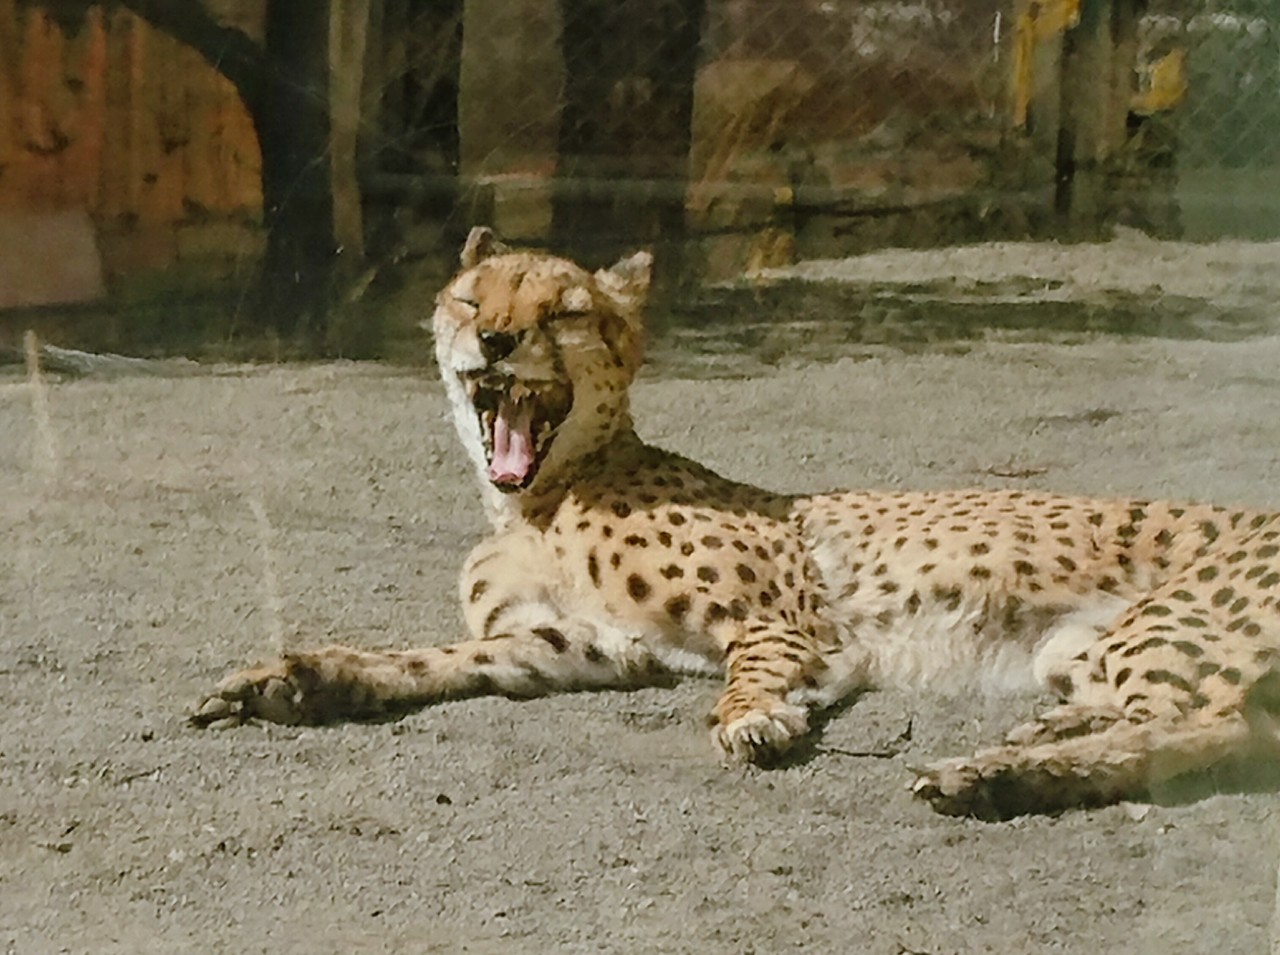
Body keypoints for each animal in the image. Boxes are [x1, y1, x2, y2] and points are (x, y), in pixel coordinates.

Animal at [194, 226, 1280, 814]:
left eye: (564, 311)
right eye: (472, 299)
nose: (494, 341)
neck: (537, 497)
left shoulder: (787, 615)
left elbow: (754, 666)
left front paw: (758, 715)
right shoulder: (590, 644)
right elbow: (439, 661)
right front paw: (300, 677)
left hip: (1162, 624)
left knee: (1214, 728)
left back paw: (995, 776)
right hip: (1083, 649)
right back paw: (1024, 750)